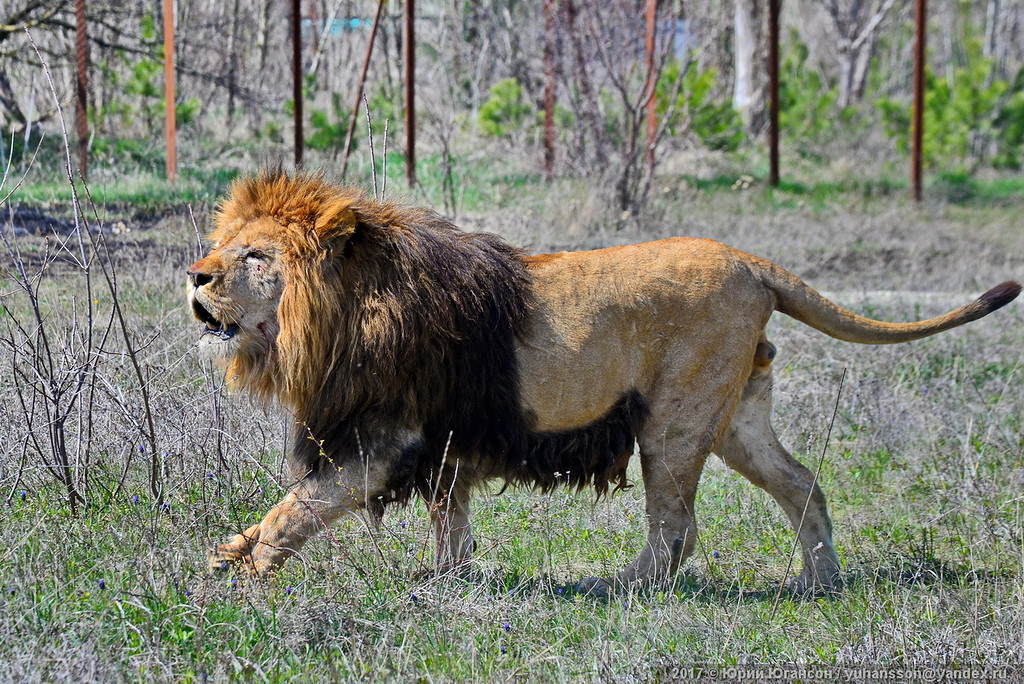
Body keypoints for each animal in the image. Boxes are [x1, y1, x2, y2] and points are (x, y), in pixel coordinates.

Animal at [188, 171, 1019, 593]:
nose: (195, 276)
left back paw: (622, 587)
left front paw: (248, 575)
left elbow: (300, 504)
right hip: (737, 417)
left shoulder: (387, 436)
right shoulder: (444, 441)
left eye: (256, 257)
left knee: (678, 526)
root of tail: (752, 262)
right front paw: (446, 580)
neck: (336, 316)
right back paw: (821, 581)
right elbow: (450, 523)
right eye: (225, 247)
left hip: (676, 419)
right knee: (802, 482)